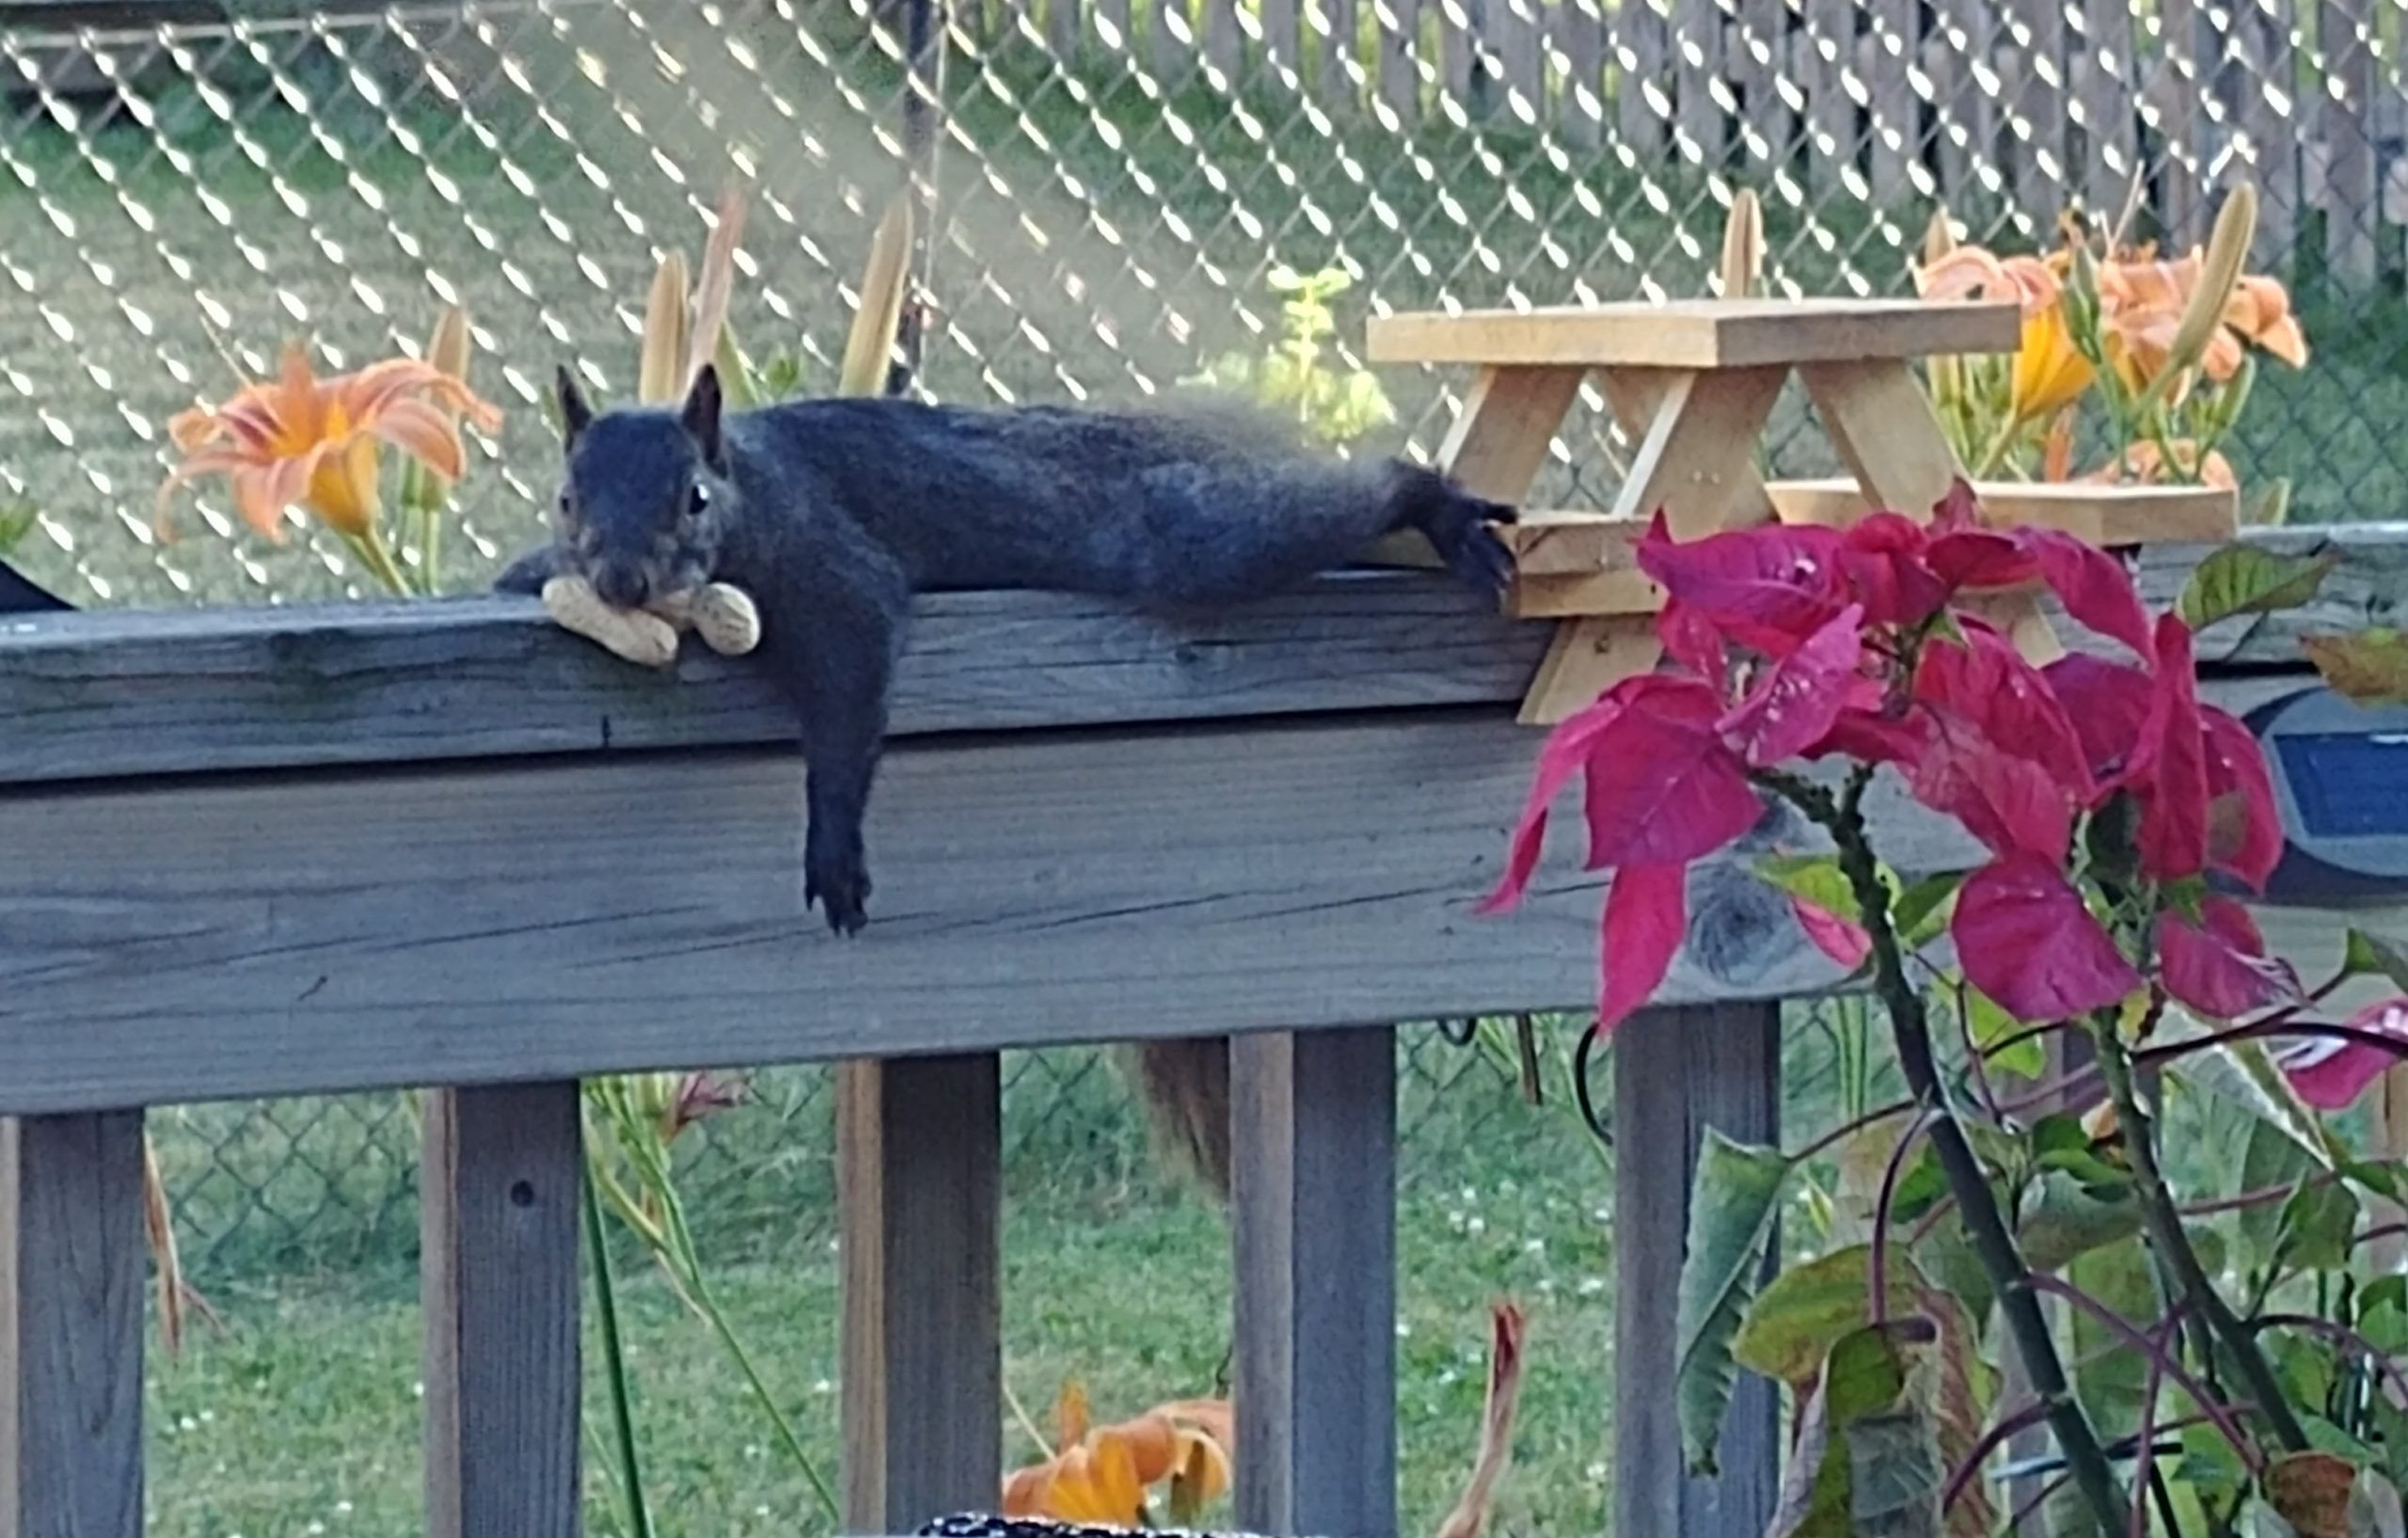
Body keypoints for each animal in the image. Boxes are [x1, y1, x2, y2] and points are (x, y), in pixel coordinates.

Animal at [497, 363, 1519, 1197]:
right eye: (565, 498)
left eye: (695, 498)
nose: (621, 581)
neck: (755, 482)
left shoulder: (836, 566)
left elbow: (850, 686)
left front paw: (834, 844)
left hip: (1186, 535)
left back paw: (1433, 505)